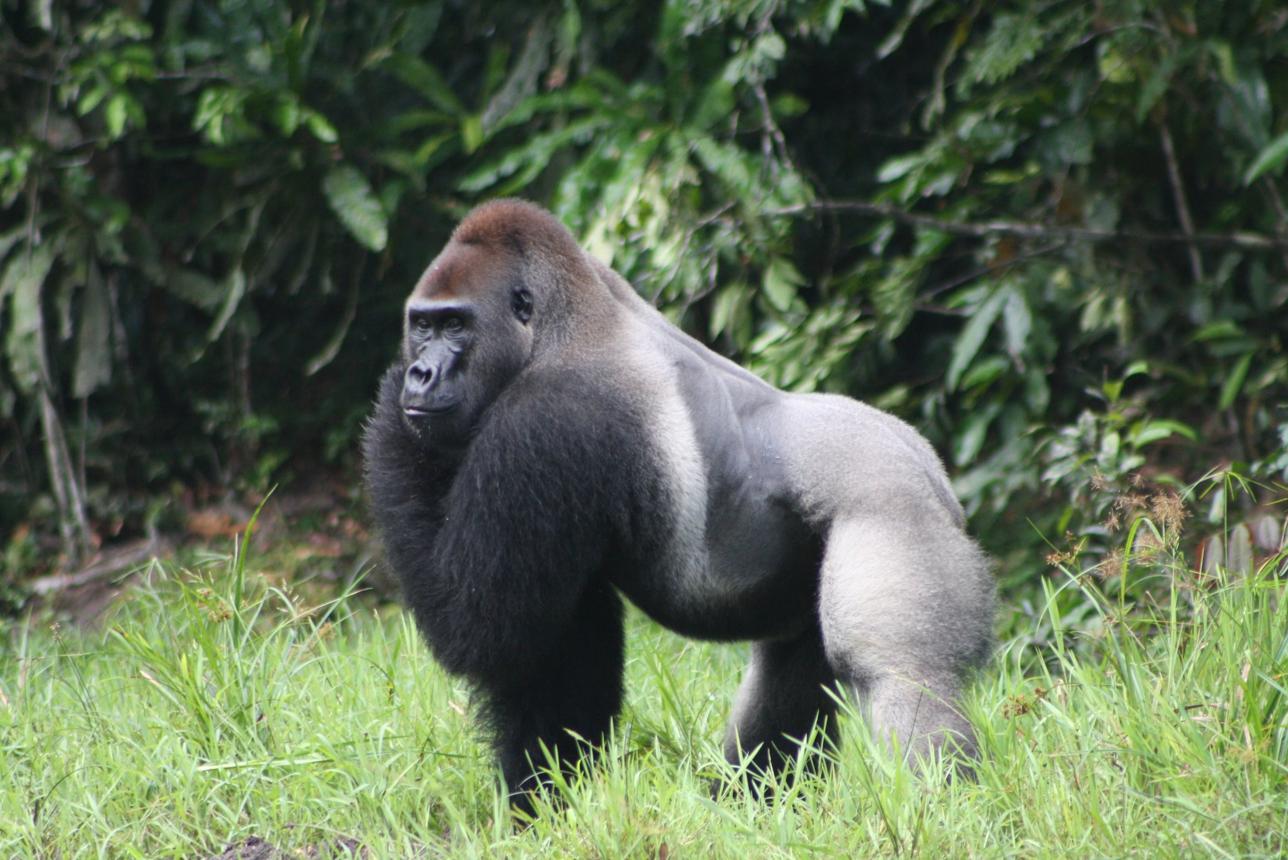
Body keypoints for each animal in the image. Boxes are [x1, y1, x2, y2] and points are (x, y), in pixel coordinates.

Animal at [362, 199, 995, 815]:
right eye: (422, 325)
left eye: (455, 324)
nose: (421, 372)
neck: (564, 326)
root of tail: (931, 471)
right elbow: (554, 646)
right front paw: (545, 800)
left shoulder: (542, 421)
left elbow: (482, 627)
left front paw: (388, 404)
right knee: (792, 665)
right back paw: (751, 804)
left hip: (892, 505)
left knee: (900, 677)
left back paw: (940, 813)